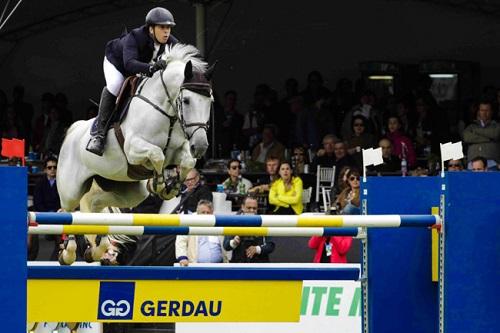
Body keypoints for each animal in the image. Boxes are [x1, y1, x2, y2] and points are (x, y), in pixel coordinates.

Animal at [55, 42, 214, 264]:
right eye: (187, 101)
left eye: (210, 101)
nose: (200, 146)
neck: (168, 113)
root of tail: (72, 131)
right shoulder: (134, 148)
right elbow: (157, 155)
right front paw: (160, 183)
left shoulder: (178, 151)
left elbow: (187, 161)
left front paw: (172, 186)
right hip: (70, 189)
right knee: (69, 212)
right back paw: (68, 253)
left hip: (129, 192)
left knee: (96, 205)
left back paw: (96, 250)